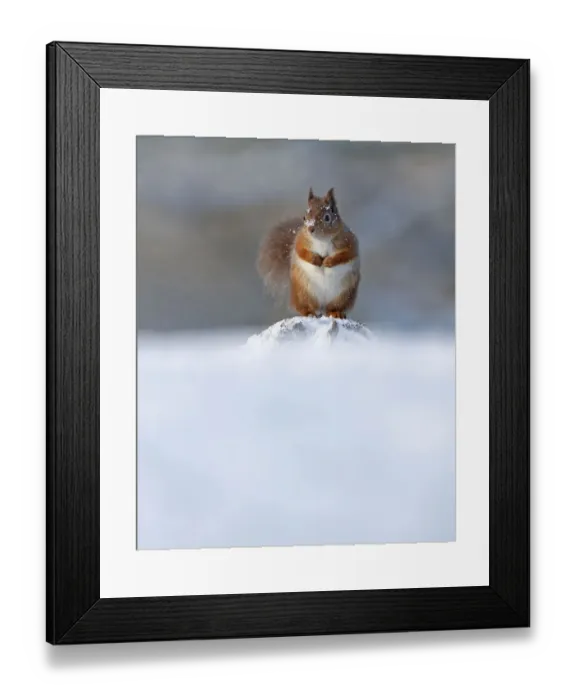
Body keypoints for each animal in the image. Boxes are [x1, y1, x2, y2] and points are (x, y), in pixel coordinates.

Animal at [257, 187, 360, 319]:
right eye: (305, 217)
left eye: (327, 217)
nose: (310, 228)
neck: (322, 240)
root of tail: (322, 307)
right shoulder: (300, 241)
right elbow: (302, 252)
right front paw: (315, 259)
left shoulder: (349, 242)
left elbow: (345, 255)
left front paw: (328, 261)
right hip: (303, 293)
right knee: (302, 307)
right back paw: (308, 312)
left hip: (343, 295)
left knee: (333, 307)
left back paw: (335, 312)